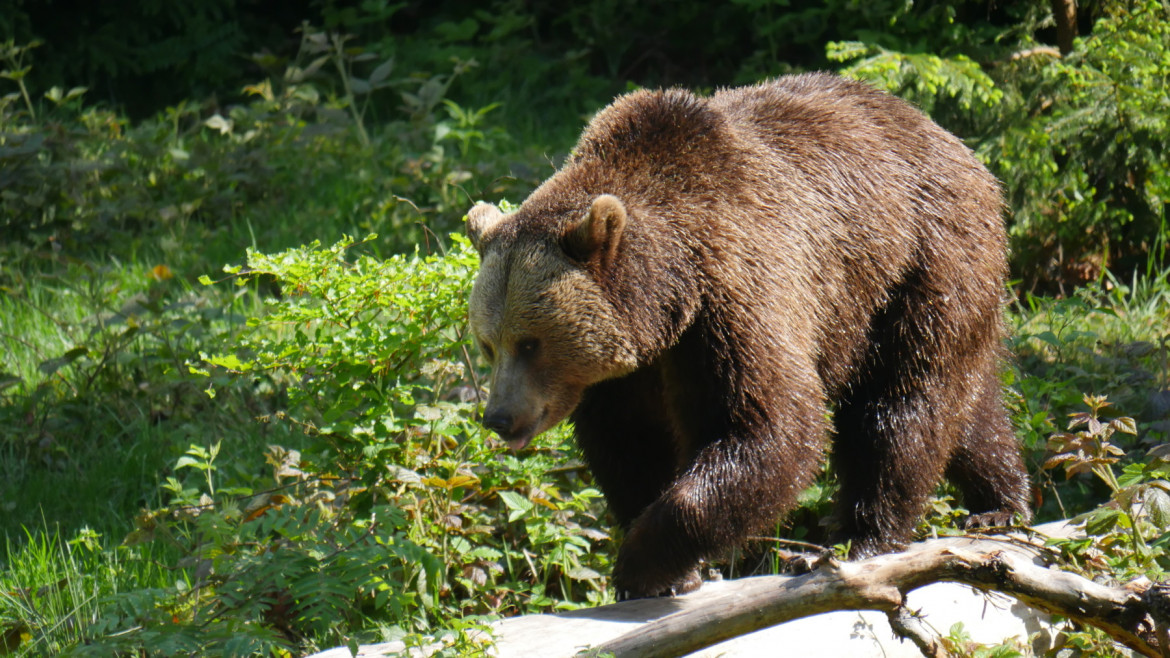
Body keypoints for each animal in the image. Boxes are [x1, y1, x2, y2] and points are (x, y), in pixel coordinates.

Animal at [465, 72, 1034, 599]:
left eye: (531, 343)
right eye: (489, 343)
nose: (499, 417)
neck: (669, 297)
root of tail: (958, 146)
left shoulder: (736, 297)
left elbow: (770, 427)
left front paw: (641, 564)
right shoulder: (627, 370)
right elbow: (628, 443)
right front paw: (670, 572)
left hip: (918, 264)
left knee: (901, 404)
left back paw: (864, 534)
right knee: (968, 405)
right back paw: (1000, 502)